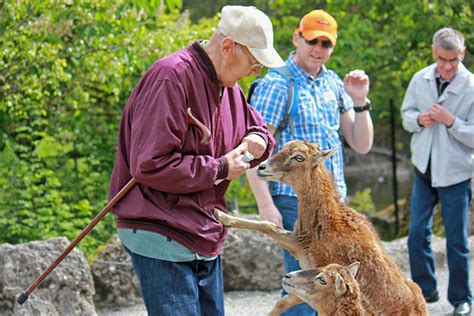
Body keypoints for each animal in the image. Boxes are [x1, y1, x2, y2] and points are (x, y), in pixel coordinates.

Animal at [215, 141, 430, 316]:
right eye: (283, 147)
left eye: (299, 157)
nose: (262, 167)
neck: (324, 224)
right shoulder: (297, 246)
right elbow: (268, 226)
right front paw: (220, 215)